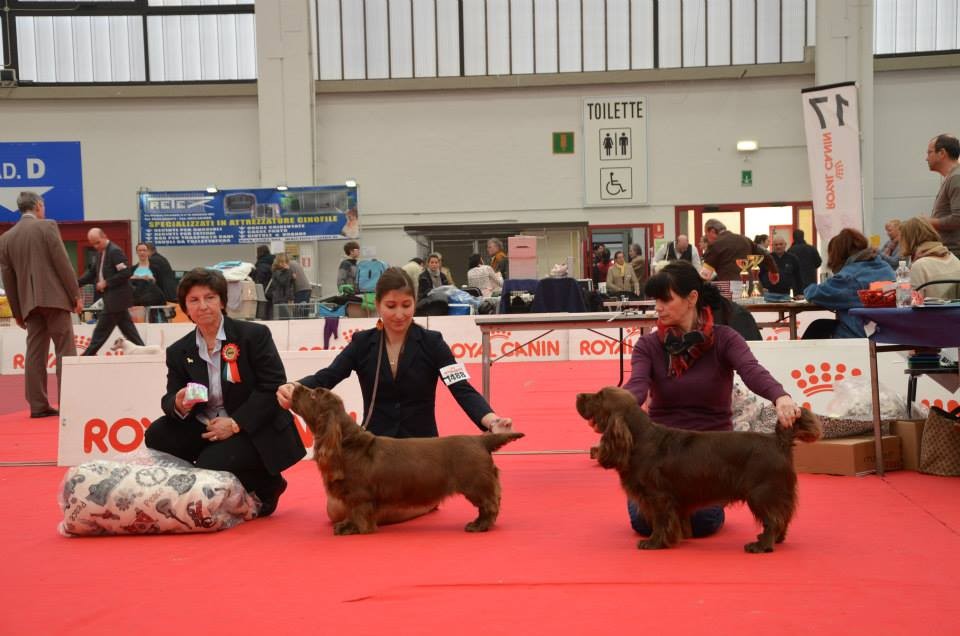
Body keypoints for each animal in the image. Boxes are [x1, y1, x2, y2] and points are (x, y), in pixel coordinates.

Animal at [290, 386, 524, 536]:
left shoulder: (359, 495)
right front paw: (346, 525)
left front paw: (352, 528)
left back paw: (478, 525)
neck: (346, 442)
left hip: (476, 484)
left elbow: (358, 513)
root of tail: (481, 440)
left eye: (313, 395)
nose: (295, 386)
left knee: (489, 505)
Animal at [572, 386, 820, 556]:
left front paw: (653, 542)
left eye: (600, 396)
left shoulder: (658, 496)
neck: (639, 439)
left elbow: (660, 521)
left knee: (773, 519)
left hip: (761, 493)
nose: (578, 395)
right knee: (783, 517)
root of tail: (778, 440)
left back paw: (760, 545)